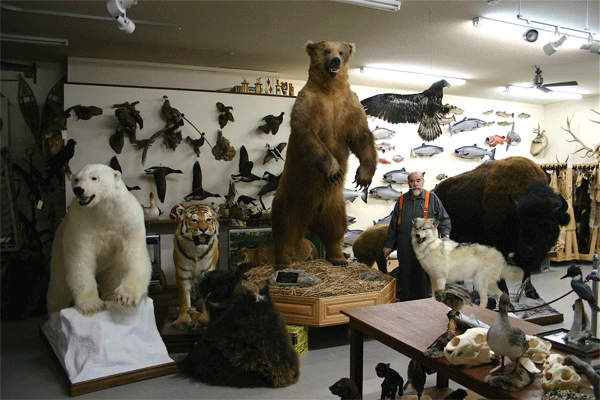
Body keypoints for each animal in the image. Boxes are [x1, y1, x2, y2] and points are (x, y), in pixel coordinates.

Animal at [46, 164, 152, 316]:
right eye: (76, 179)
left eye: (94, 178)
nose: (78, 189)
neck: (103, 211)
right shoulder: (80, 224)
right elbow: (81, 260)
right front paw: (93, 305)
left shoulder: (128, 221)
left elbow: (134, 253)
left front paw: (127, 297)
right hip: (58, 253)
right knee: (58, 287)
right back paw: (55, 313)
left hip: (111, 265)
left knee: (111, 278)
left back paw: (111, 296)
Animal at [272, 41, 378, 270]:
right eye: (327, 50)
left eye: (341, 51)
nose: (336, 60)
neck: (330, 90)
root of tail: (310, 220)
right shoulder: (308, 104)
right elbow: (308, 135)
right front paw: (335, 171)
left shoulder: (350, 107)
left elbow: (362, 136)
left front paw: (363, 176)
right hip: (290, 199)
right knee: (284, 229)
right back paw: (284, 261)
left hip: (334, 204)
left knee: (336, 228)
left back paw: (339, 258)